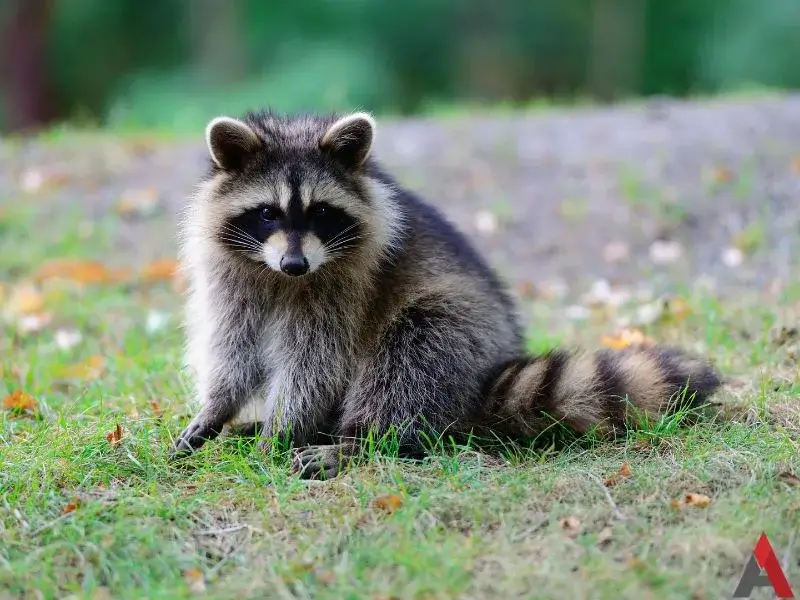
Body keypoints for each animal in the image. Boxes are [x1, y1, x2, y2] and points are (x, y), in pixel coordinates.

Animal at [171, 109, 721, 478]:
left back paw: (358, 441)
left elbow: (317, 363)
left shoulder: (344, 286)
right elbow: (233, 347)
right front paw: (218, 408)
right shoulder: (232, 276)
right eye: (267, 213)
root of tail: (488, 374)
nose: (295, 264)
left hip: (458, 329)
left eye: (321, 212)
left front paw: (284, 430)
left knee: (410, 358)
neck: (281, 278)